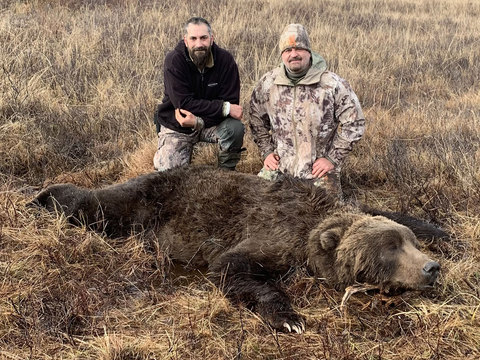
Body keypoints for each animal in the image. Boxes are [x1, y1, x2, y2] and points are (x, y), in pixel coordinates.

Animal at [30, 166, 444, 334]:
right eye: (389, 248)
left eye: (409, 241)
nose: (431, 268)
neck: (313, 224)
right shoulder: (278, 234)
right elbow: (233, 266)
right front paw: (289, 318)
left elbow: (385, 209)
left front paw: (439, 228)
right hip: (144, 202)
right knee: (98, 206)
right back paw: (43, 196)